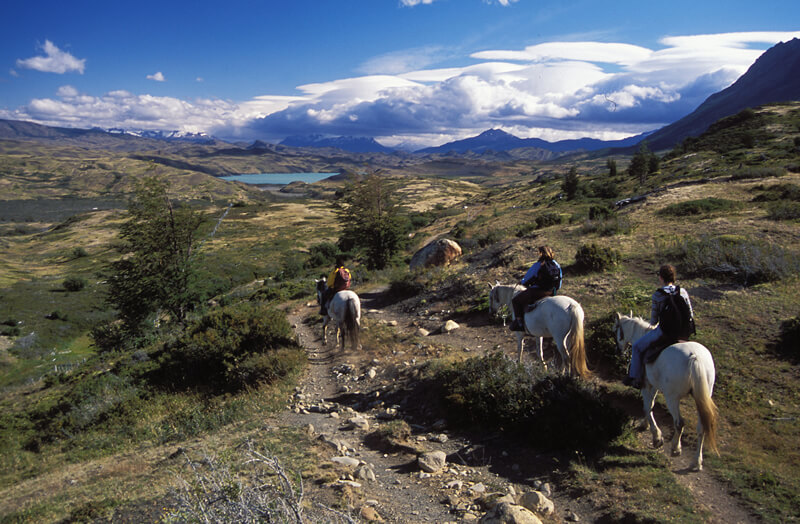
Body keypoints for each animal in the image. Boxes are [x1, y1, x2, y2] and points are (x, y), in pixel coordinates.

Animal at [616, 312, 720, 470]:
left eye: (616, 330)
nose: (619, 350)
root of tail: (694, 357)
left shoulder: (647, 385)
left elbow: (647, 406)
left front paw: (656, 437)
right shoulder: (654, 385)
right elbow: (651, 405)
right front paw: (645, 424)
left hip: (672, 398)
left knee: (679, 423)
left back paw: (676, 448)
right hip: (702, 397)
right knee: (701, 427)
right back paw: (696, 462)